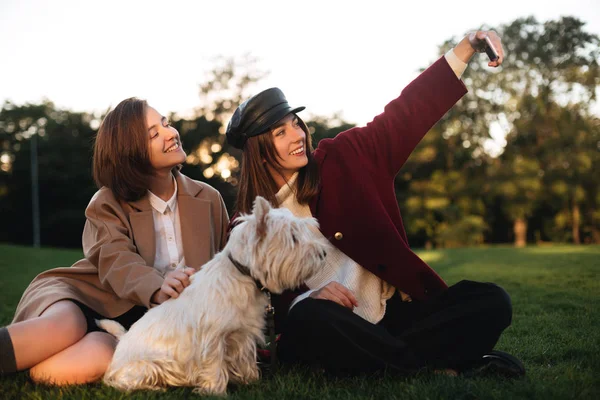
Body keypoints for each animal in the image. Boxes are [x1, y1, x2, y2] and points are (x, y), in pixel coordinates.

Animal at [99, 195, 332, 396]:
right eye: (293, 238)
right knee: (123, 382)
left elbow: (246, 358)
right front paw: (215, 391)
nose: (323, 254)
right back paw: (157, 387)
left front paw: (251, 381)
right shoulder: (212, 336)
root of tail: (121, 341)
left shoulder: (243, 332)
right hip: (144, 366)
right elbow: (214, 363)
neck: (242, 276)